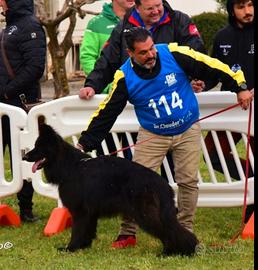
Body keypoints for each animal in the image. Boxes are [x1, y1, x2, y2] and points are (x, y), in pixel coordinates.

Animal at [22, 124, 200, 255]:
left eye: (38, 147)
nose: (24, 156)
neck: (70, 166)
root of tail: (162, 184)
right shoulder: (90, 213)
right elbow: (87, 231)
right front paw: (83, 247)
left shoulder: (80, 212)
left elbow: (77, 231)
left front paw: (70, 249)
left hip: (146, 215)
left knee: (168, 231)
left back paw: (168, 252)